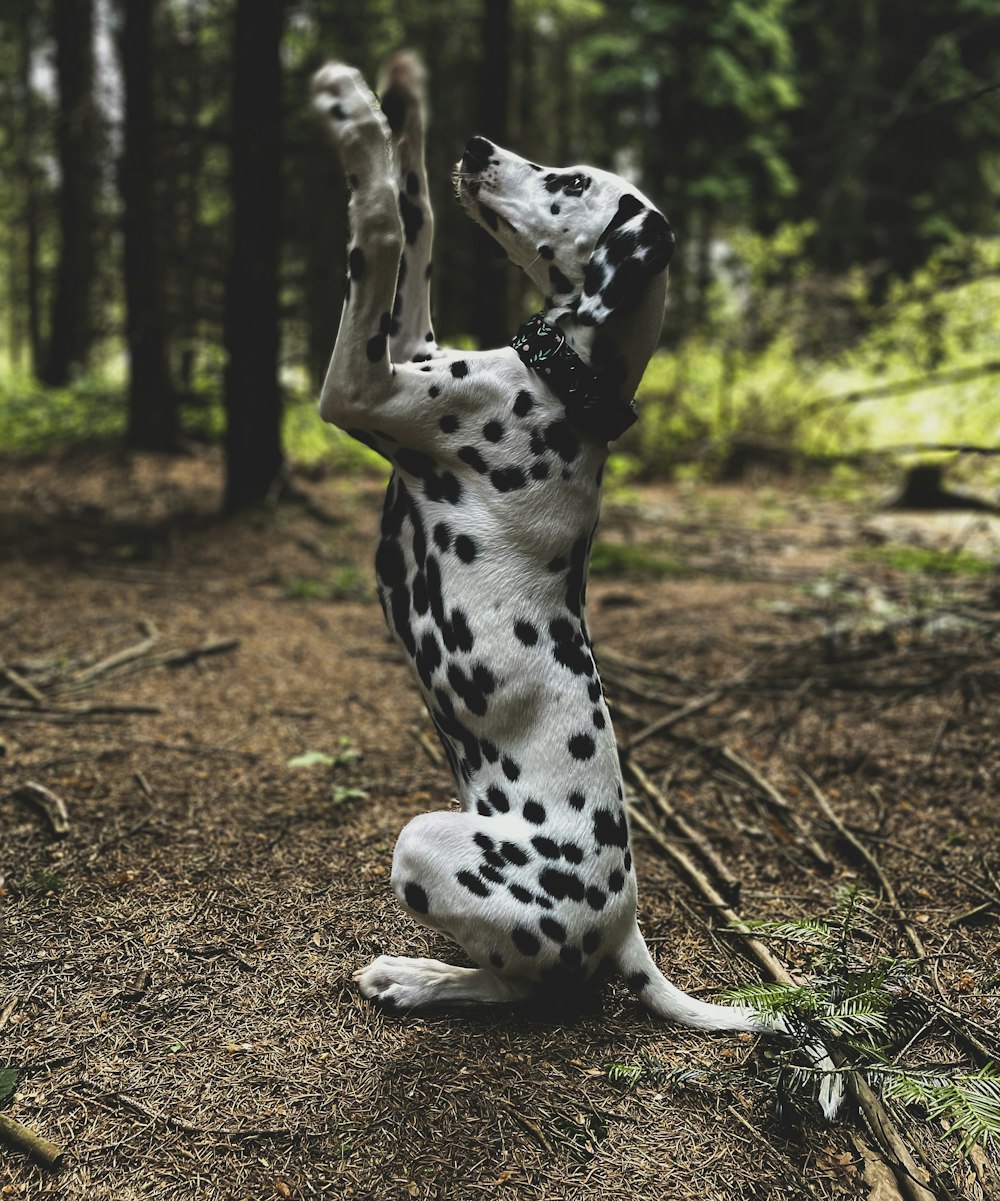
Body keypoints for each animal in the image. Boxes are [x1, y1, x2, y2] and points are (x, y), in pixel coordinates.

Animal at [314, 51, 845, 1119]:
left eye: (567, 181)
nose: (482, 144)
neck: (568, 382)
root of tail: (631, 924)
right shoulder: (408, 344)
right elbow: (418, 216)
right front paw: (405, 100)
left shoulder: (361, 385)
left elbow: (381, 223)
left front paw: (353, 117)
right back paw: (420, 974)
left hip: (425, 844)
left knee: (541, 990)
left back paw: (428, 980)